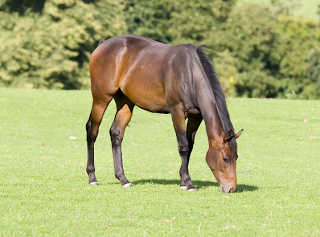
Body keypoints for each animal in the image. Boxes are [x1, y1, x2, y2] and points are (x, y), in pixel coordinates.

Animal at [85, 34, 242, 193]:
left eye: (236, 157)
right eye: (225, 158)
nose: (231, 189)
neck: (189, 73)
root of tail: (102, 45)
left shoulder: (195, 116)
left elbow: (190, 146)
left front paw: (182, 182)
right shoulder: (177, 111)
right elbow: (183, 146)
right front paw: (188, 183)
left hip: (126, 103)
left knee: (116, 133)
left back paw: (123, 179)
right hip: (101, 99)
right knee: (92, 130)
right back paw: (92, 178)